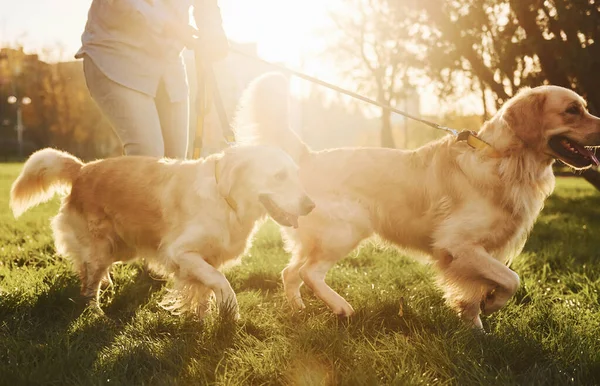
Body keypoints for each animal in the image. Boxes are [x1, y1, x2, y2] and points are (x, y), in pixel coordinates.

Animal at [9, 146, 316, 318]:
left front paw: (203, 317)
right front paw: (230, 311)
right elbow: (220, 282)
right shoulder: (180, 252)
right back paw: (96, 313)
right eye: (279, 176)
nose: (311, 205)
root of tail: (83, 168)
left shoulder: (207, 258)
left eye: (296, 174)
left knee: (87, 271)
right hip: (101, 246)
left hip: (121, 247)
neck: (227, 199)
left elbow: (205, 288)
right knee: (89, 285)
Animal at [233, 71, 600, 328]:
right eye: (572, 110)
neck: (504, 160)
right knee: (310, 272)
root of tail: (309, 157)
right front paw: (493, 303)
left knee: (290, 272)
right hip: (347, 230)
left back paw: (298, 309)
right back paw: (341, 307)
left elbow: (476, 293)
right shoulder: (457, 245)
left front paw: (477, 330)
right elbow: (511, 279)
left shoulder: (478, 252)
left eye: (583, 107)